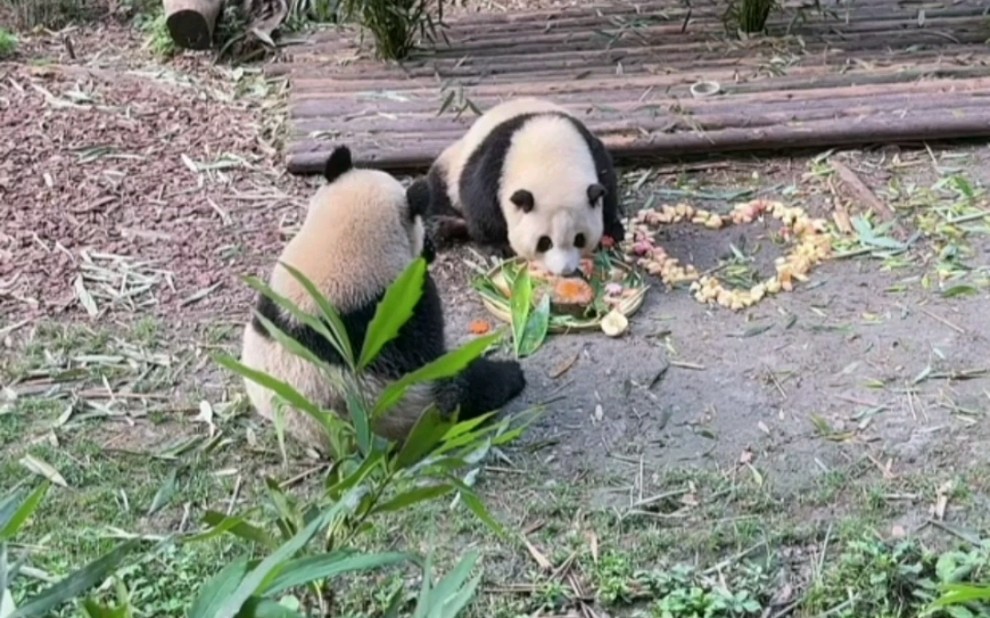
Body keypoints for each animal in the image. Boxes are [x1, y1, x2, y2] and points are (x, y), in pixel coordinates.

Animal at [239, 146, 528, 452]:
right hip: (415, 404)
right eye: (421, 232)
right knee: (463, 386)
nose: (431, 251)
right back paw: (509, 375)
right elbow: (424, 342)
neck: (342, 244)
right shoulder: (397, 310)